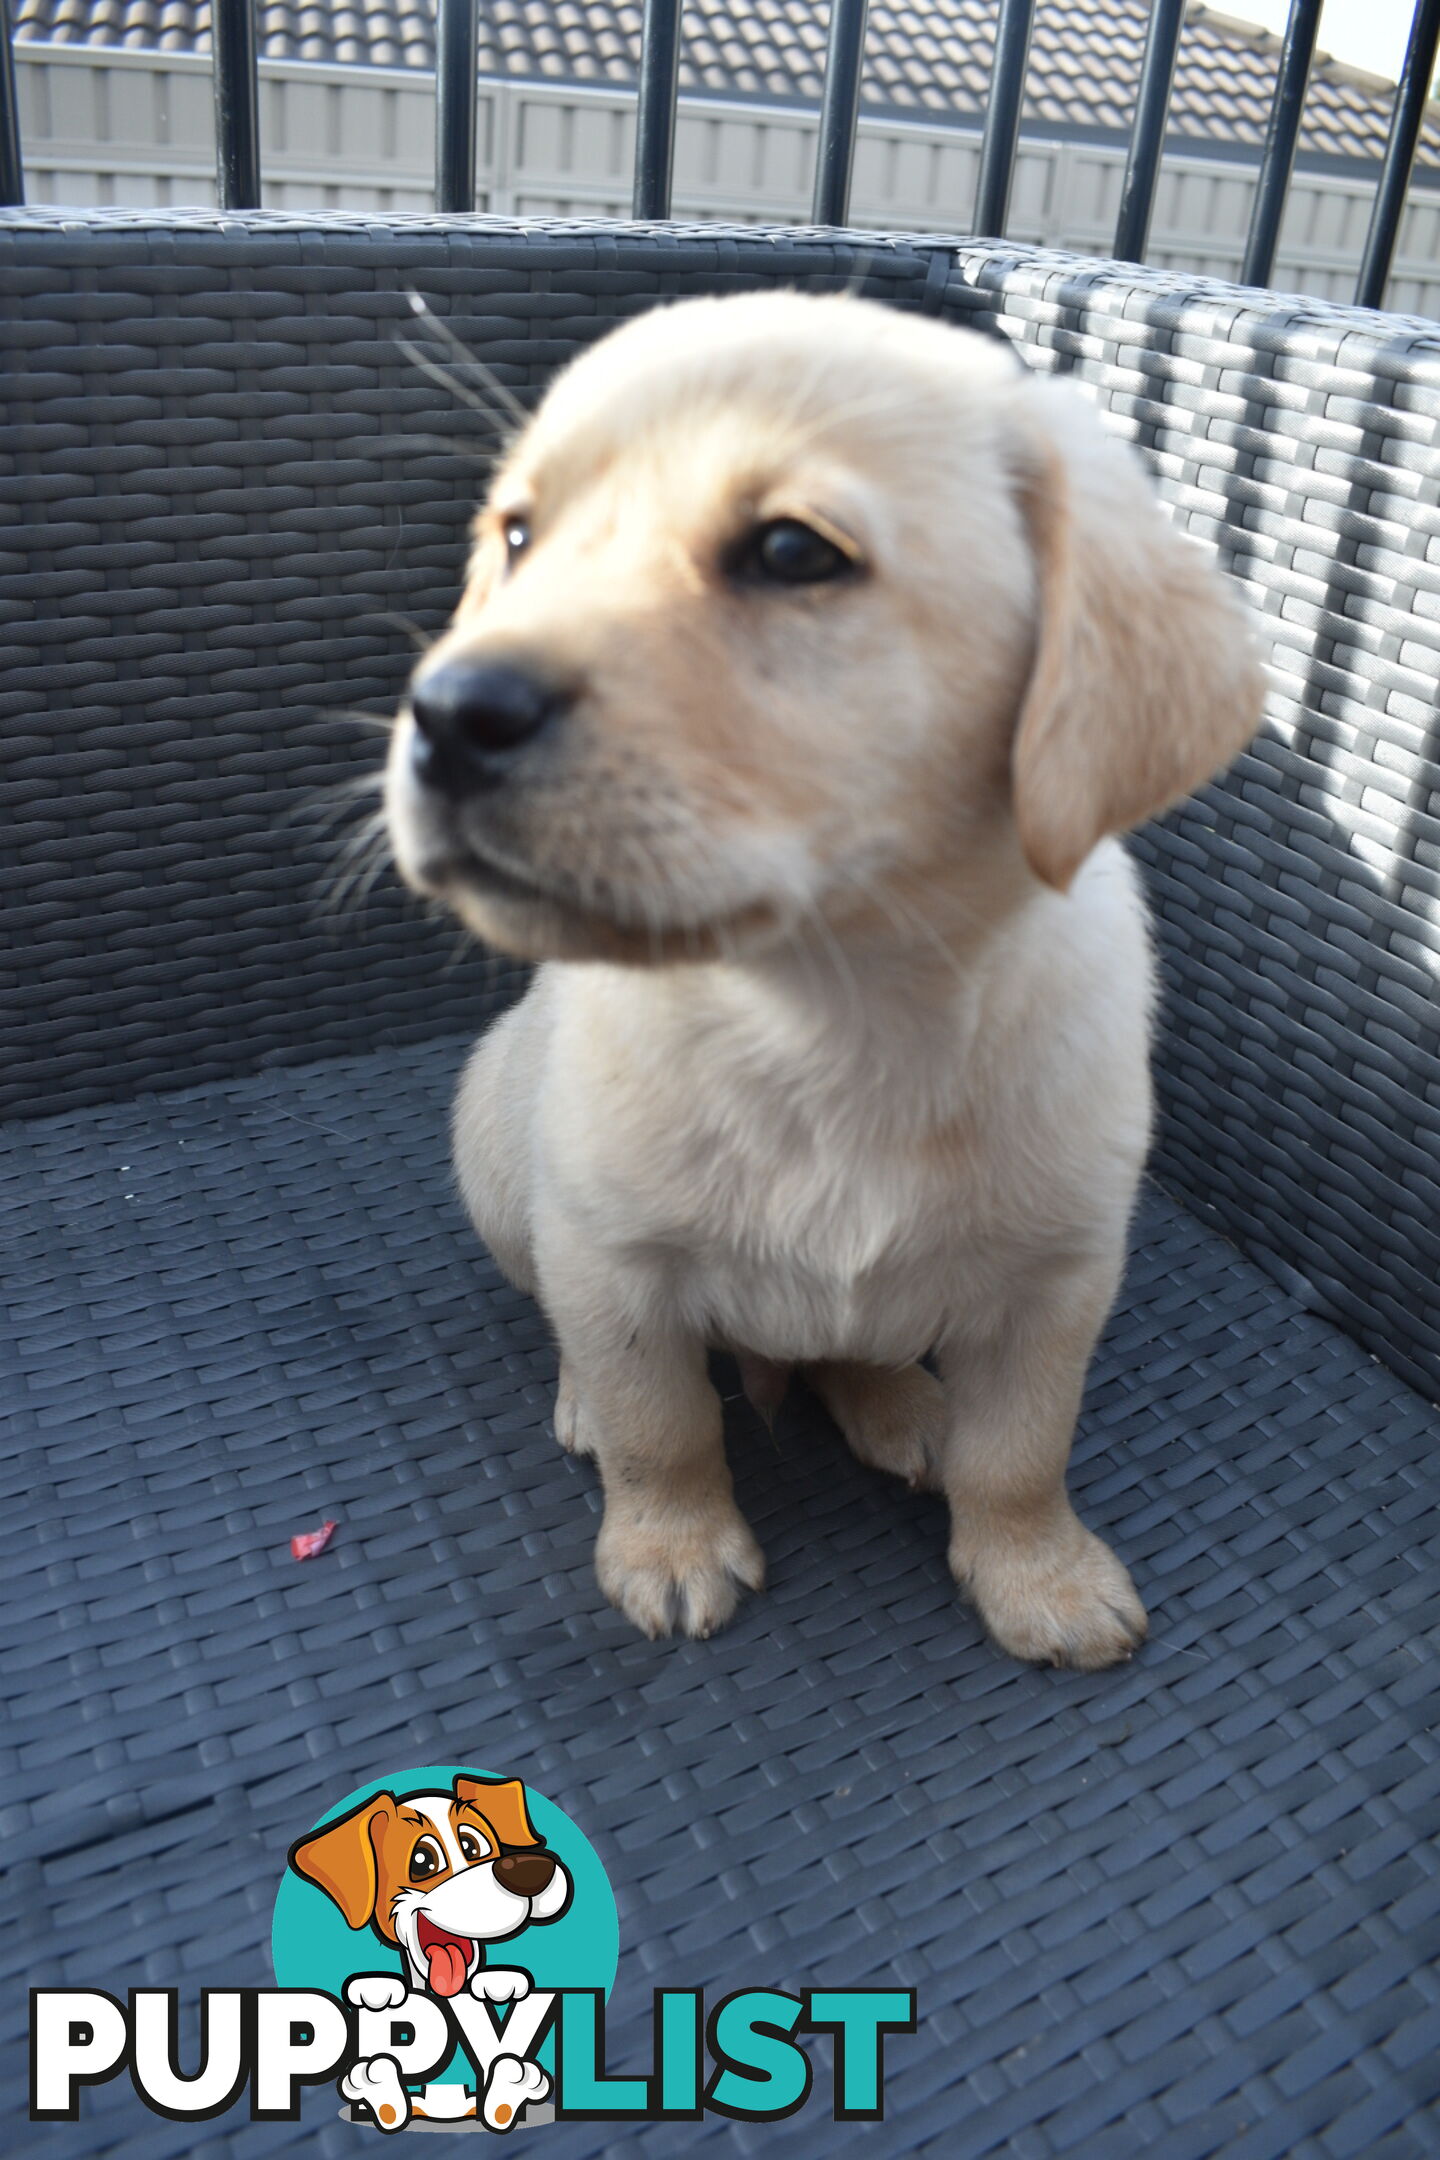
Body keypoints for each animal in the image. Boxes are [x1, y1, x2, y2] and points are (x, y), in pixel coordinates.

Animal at [386, 291, 1260, 1667]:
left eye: (794, 552)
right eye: (520, 537)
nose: (444, 711)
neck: (830, 1012)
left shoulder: (1062, 1277)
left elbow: (1024, 1450)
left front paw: (1041, 1574)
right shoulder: (611, 1252)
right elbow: (660, 1420)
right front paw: (669, 1545)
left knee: (864, 1357)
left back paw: (901, 1404)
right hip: (495, 1150)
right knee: (577, 1331)